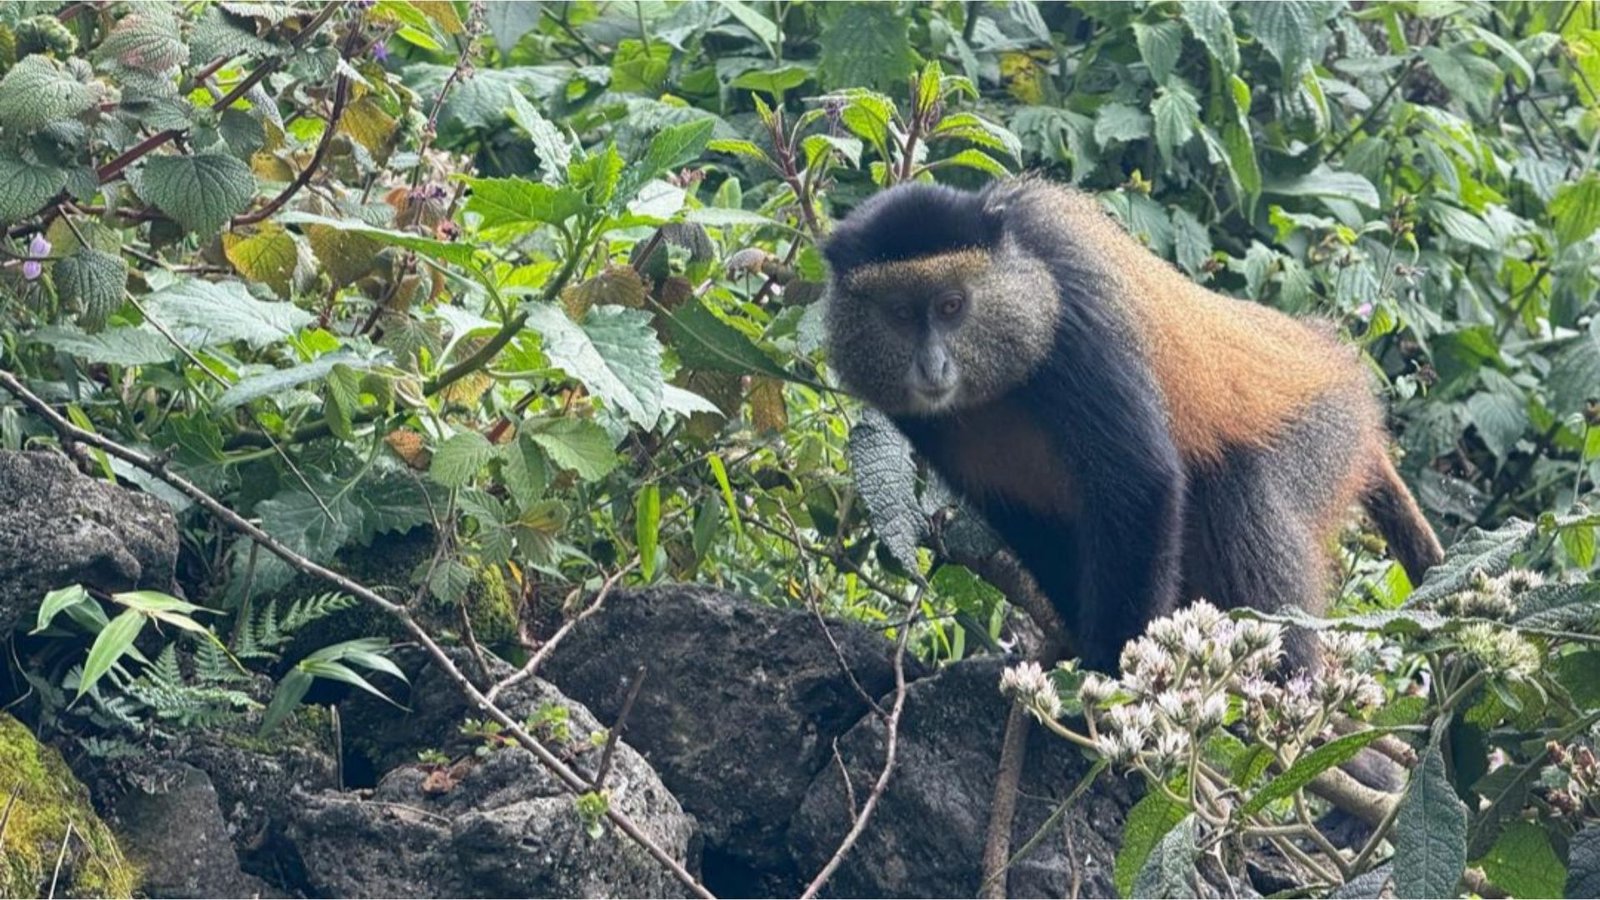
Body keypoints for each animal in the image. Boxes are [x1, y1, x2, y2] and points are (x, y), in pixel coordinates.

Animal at [821, 176, 1444, 673]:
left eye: (951, 306)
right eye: (901, 314)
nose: (933, 367)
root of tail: (1337, 363)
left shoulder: (1074, 318)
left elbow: (1139, 482)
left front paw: (1111, 672)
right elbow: (1028, 523)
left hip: (1321, 435)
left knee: (1239, 494)